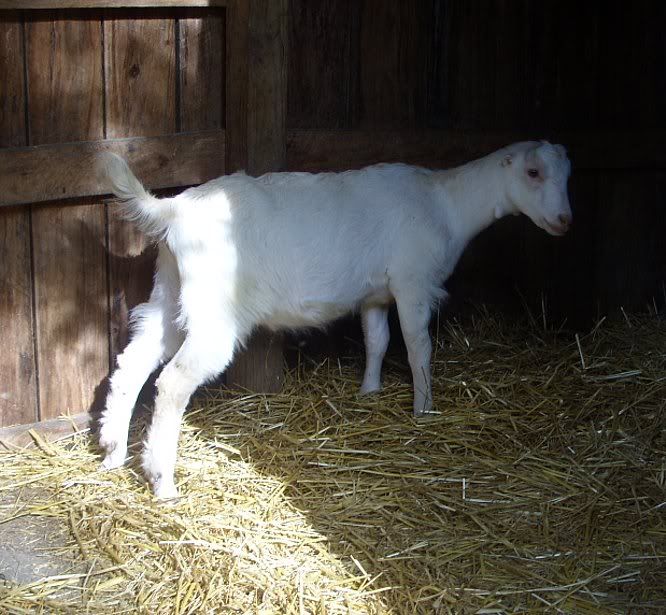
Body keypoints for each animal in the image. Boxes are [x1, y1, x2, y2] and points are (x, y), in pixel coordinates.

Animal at [97, 141, 572, 498]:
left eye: (568, 176)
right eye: (533, 172)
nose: (565, 221)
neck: (446, 203)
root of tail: (172, 211)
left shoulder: (375, 295)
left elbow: (377, 340)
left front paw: (369, 391)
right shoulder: (412, 282)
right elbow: (418, 347)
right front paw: (424, 410)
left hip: (171, 290)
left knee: (133, 362)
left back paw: (112, 452)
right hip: (213, 308)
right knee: (174, 382)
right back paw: (162, 481)